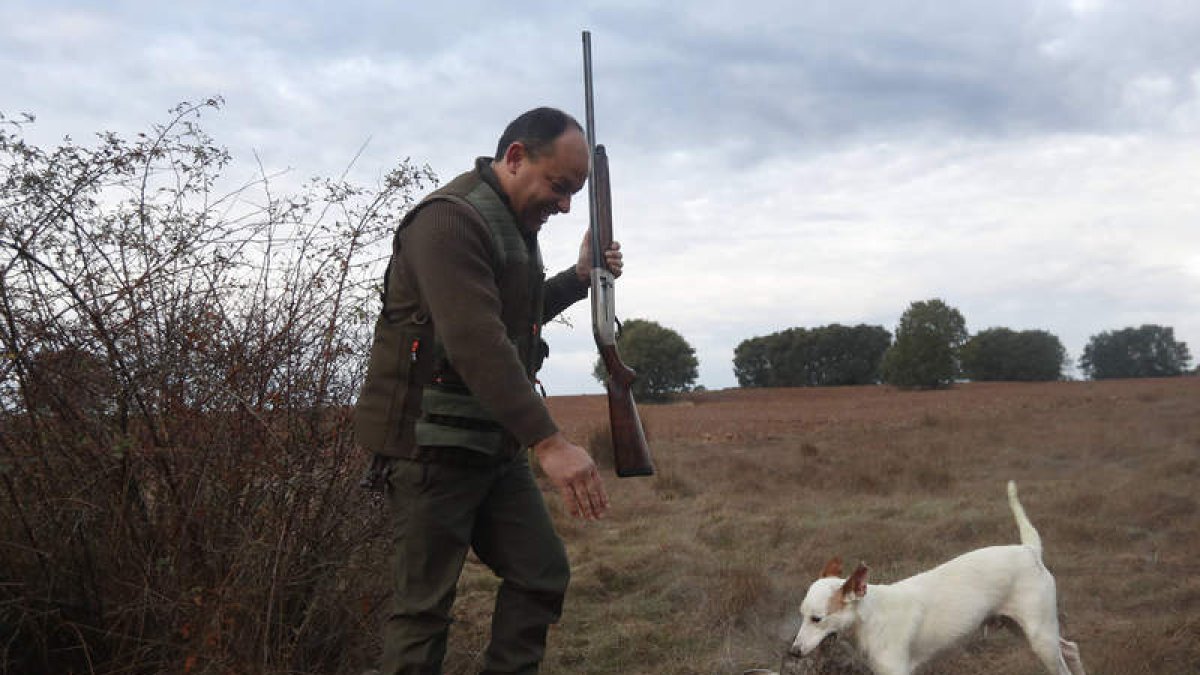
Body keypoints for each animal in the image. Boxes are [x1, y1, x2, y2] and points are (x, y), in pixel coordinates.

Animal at [787, 478, 1089, 672]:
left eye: (817, 619)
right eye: (802, 615)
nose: (794, 651)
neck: (872, 616)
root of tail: (1029, 550)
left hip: (1040, 637)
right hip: (1023, 629)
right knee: (1072, 648)